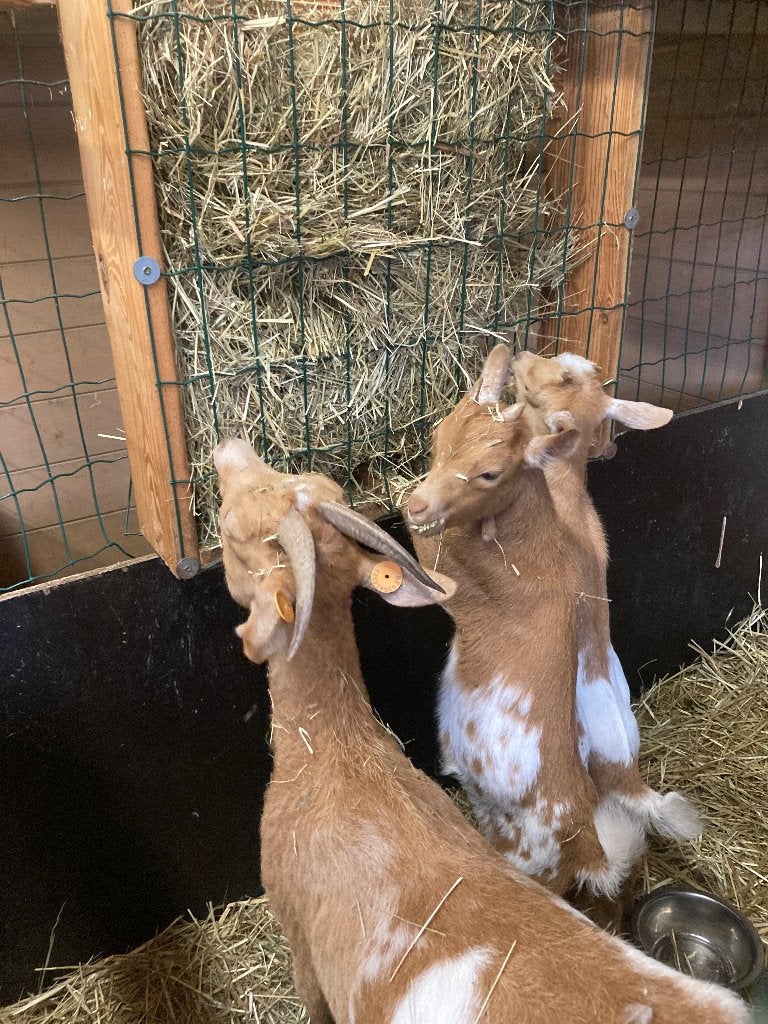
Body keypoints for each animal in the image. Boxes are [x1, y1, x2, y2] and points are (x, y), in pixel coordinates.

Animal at [406, 344, 648, 900]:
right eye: (438, 437)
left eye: (490, 474)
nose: (417, 503)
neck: (532, 549)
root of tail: (586, 843)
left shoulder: (462, 582)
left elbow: (430, 556)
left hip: (528, 860)